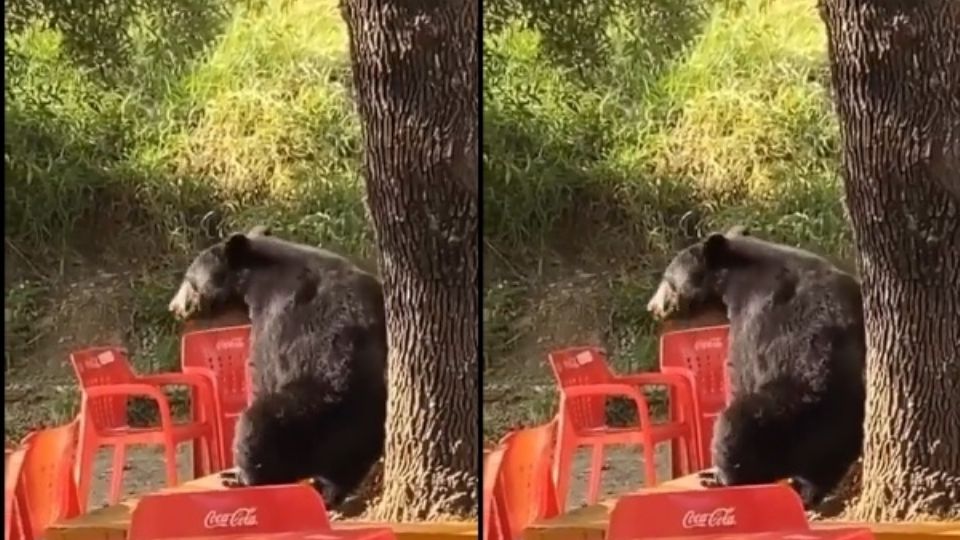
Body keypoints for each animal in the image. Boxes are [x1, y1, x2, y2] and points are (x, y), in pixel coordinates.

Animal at [169, 226, 386, 508]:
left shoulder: (277, 315)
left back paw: (243, 478)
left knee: (257, 424)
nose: (174, 307)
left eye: (189, 279)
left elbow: (263, 369)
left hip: (311, 413)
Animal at [648, 226, 868, 508]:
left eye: (667, 278)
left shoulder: (755, 315)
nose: (652, 307)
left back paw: (721, 478)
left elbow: (741, 369)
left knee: (736, 425)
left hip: (789, 413)